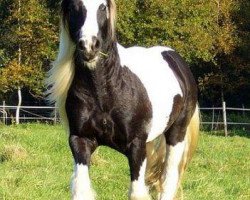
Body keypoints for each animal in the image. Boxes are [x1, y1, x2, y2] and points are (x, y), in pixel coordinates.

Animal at [46, 0, 199, 199]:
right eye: (73, 7)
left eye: (102, 6)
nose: (89, 46)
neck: (106, 91)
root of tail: (175, 59)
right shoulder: (81, 140)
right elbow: (81, 189)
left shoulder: (136, 146)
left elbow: (136, 192)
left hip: (176, 134)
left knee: (168, 181)